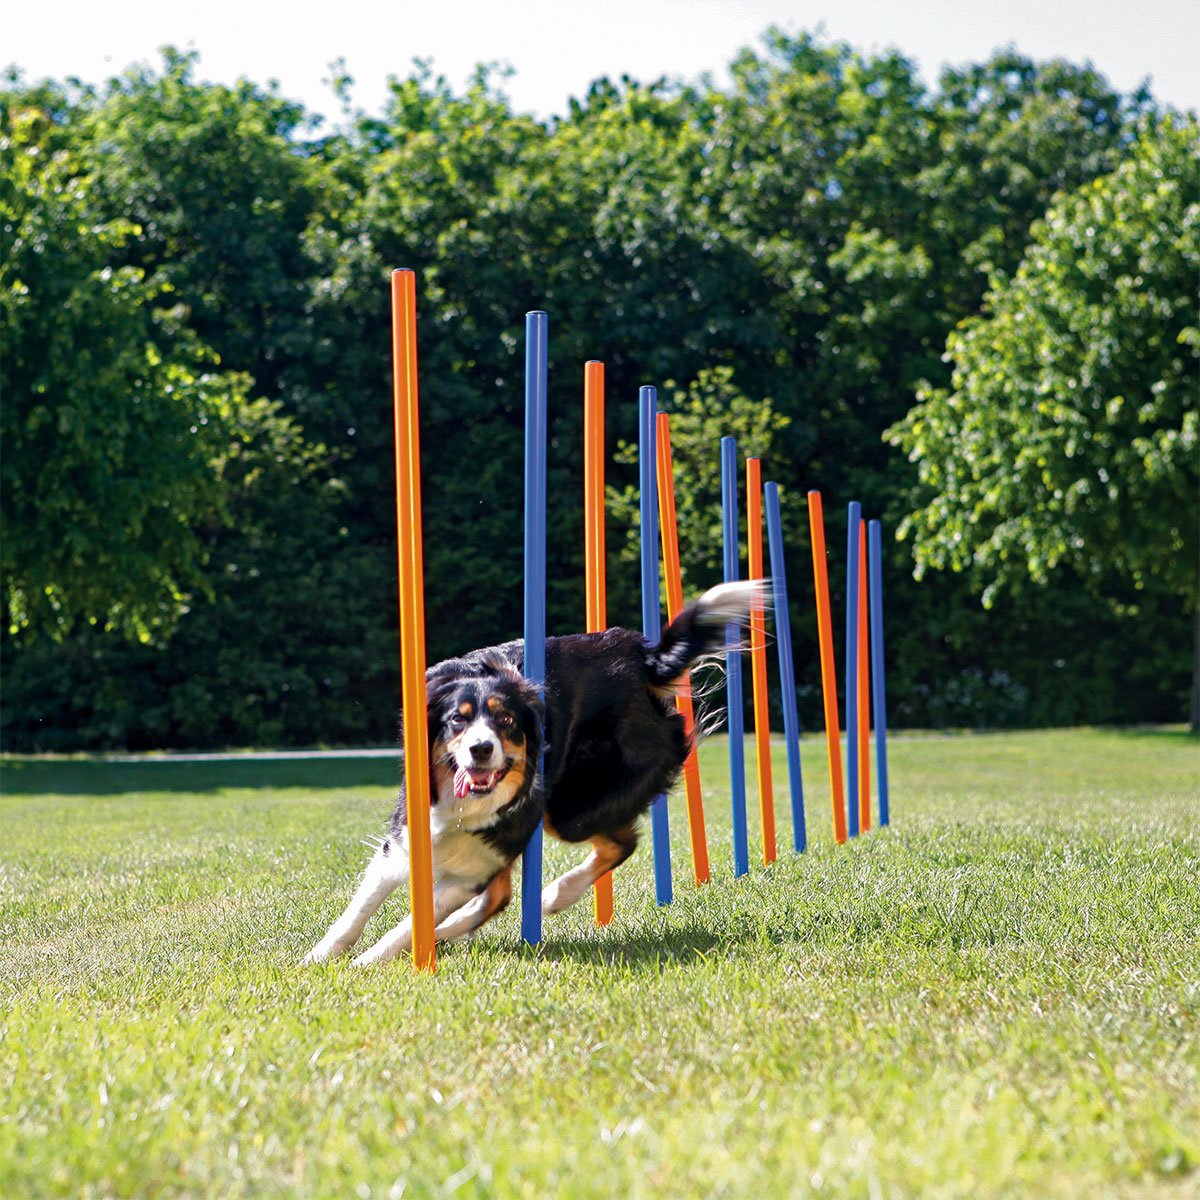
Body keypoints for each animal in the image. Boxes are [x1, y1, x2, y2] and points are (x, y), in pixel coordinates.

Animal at [309, 580, 758, 964]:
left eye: (506, 721)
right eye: (457, 719)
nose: (481, 749)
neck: (463, 807)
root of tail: (641, 657)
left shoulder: (477, 865)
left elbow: (410, 921)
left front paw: (370, 960)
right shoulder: (406, 842)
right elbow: (359, 909)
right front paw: (320, 957)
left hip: (570, 808)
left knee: (619, 843)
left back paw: (553, 896)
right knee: (502, 896)